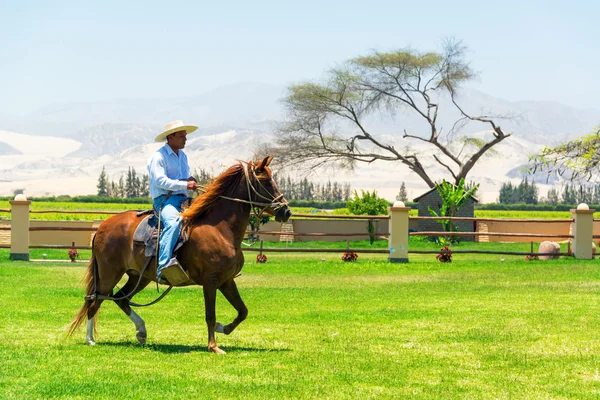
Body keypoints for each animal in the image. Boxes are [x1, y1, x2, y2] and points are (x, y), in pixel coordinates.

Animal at [68, 156, 290, 354]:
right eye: (265, 181)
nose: (286, 211)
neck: (220, 229)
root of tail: (103, 225)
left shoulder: (227, 281)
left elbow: (242, 311)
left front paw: (222, 328)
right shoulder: (211, 281)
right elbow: (210, 314)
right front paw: (213, 346)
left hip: (139, 276)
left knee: (121, 299)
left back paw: (141, 332)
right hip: (109, 273)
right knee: (95, 301)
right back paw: (90, 339)